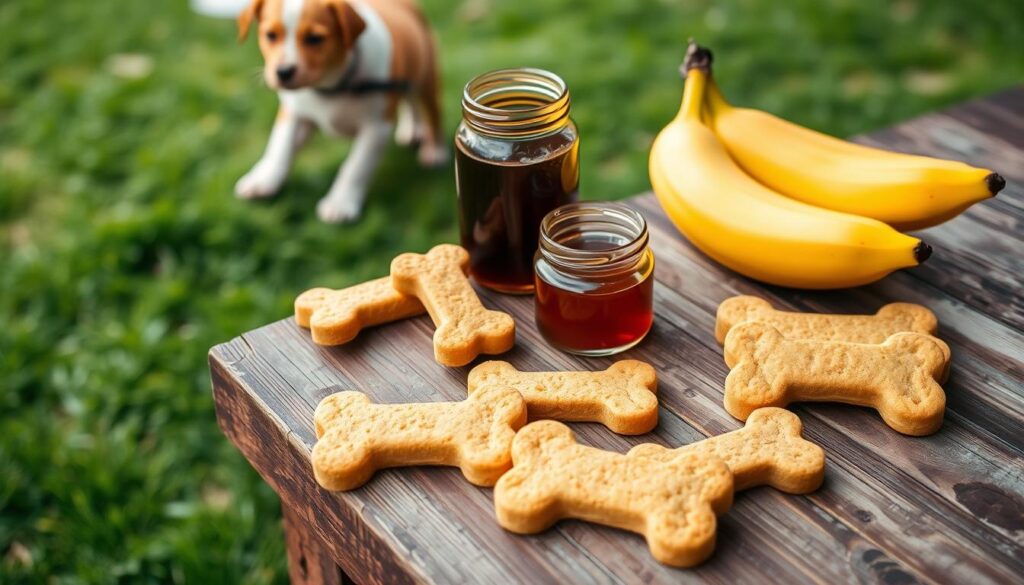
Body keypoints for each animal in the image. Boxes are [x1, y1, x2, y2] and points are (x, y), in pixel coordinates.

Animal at [239, 0, 448, 223]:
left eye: (314, 38)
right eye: (271, 35)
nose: (284, 72)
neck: (334, 85)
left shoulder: (376, 128)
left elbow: (356, 166)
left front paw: (340, 202)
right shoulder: (294, 113)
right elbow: (280, 146)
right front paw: (264, 179)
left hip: (426, 78)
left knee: (432, 112)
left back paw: (435, 150)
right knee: (409, 102)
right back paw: (411, 128)